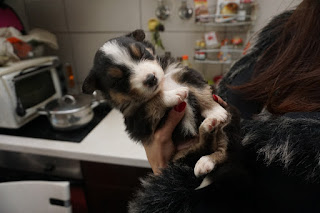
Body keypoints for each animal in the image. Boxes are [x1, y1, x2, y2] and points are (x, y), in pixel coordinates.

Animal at [82, 29, 230, 176]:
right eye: (119, 80)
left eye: (142, 53)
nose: (150, 78)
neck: (163, 85)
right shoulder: (137, 119)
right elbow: (150, 102)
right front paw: (173, 94)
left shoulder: (183, 73)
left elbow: (200, 90)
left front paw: (216, 111)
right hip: (180, 153)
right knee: (201, 147)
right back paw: (205, 144)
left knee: (223, 149)